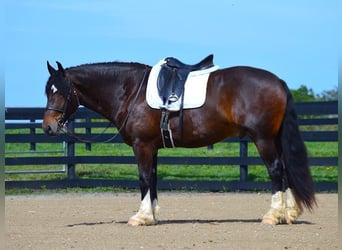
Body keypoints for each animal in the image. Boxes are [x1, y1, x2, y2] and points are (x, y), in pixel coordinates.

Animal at [42, 58, 316, 225]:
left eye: (61, 92)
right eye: (47, 91)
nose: (48, 126)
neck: (130, 91)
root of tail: (278, 82)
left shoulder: (142, 146)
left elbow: (143, 179)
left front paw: (141, 217)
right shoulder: (152, 147)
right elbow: (152, 179)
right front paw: (152, 216)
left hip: (263, 139)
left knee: (276, 170)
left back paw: (273, 215)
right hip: (274, 139)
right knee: (285, 170)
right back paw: (290, 213)